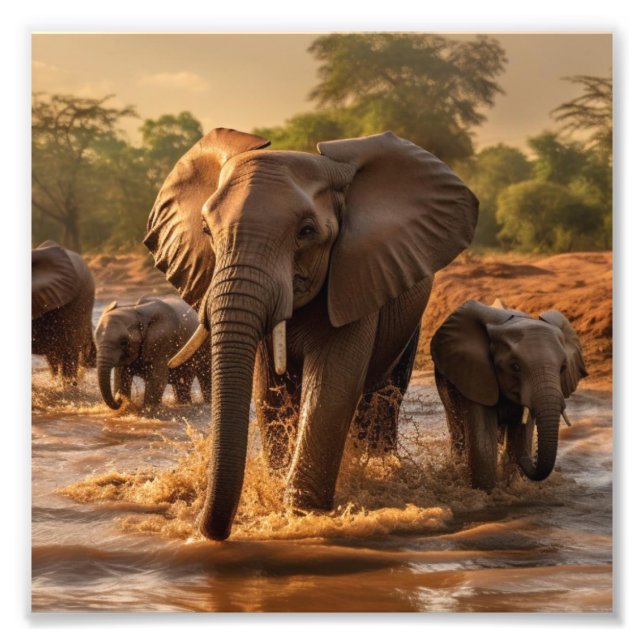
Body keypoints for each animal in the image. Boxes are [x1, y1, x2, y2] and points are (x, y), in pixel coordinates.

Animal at [144, 127, 478, 540]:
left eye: (306, 232)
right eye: (206, 230)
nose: (207, 530)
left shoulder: (356, 275)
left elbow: (330, 389)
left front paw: (303, 514)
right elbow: (268, 392)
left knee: (382, 397)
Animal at [430, 299, 588, 489]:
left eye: (563, 367)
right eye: (515, 366)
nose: (529, 457)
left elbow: (521, 434)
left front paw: (510, 485)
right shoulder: (475, 374)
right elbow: (483, 448)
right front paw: (485, 490)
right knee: (457, 430)